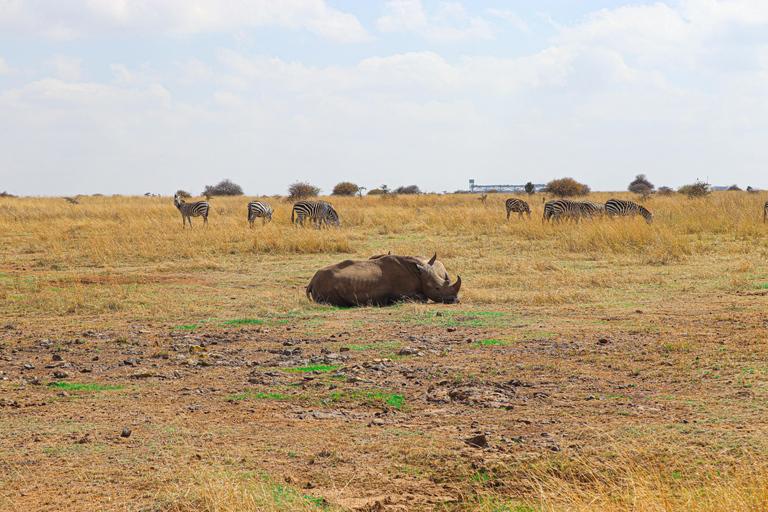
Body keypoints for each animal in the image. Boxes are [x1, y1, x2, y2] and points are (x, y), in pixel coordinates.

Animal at [306, 254, 462, 306]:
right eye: (437, 288)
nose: (456, 300)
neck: (419, 275)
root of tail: (311, 281)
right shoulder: (404, 293)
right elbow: (423, 297)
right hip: (326, 284)